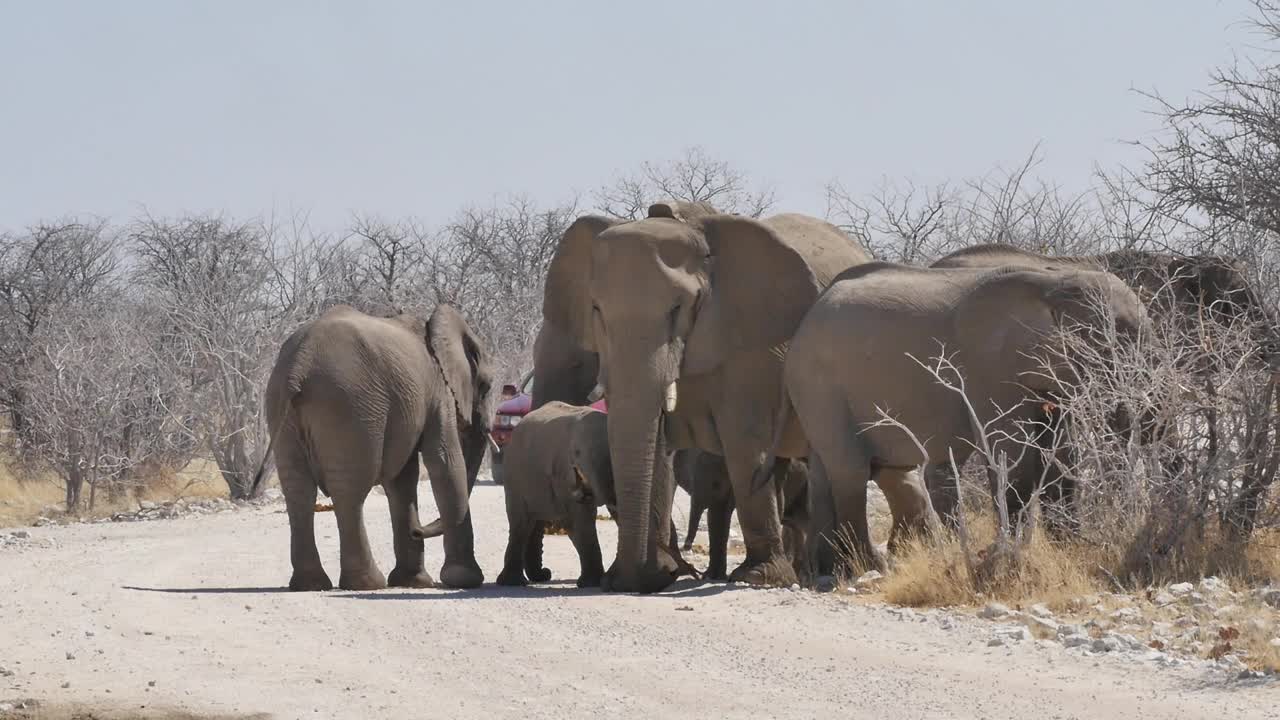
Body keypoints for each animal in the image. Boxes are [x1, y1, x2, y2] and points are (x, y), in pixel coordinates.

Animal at [250, 302, 494, 589]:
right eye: (487, 387)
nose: (417, 530)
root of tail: (299, 365)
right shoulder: (438, 390)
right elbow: (445, 461)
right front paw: (463, 579)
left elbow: (403, 480)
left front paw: (414, 582)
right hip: (350, 405)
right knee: (350, 492)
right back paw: (367, 583)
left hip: (281, 406)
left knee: (299, 491)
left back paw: (310, 584)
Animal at [540, 199, 870, 589]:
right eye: (596, 309)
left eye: (678, 308)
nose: (628, 579)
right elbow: (658, 445)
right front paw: (650, 576)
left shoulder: (752, 341)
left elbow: (744, 440)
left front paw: (759, 577)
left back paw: (833, 571)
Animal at [757, 260, 1152, 568]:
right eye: (1109, 343)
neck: (1055, 281)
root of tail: (806, 320)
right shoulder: (990, 368)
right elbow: (1012, 454)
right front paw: (1005, 555)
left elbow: (1061, 454)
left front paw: (1071, 549)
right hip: (819, 384)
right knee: (849, 469)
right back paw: (868, 566)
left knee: (825, 469)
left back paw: (827, 573)